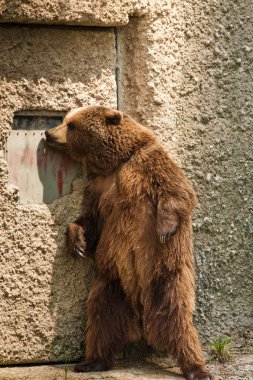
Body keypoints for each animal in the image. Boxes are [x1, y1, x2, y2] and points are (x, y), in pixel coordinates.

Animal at [45, 104, 213, 380]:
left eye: (71, 124)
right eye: (65, 120)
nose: (48, 133)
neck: (116, 162)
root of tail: (141, 315)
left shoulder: (149, 164)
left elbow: (178, 191)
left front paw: (165, 227)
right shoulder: (98, 188)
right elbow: (91, 220)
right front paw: (76, 241)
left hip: (166, 276)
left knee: (178, 318)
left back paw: (196, 368)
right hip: (113, 282)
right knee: (101, 316)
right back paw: (91, 361)